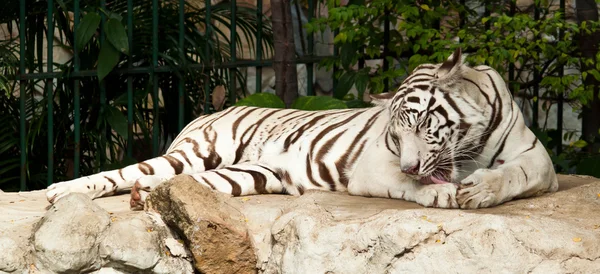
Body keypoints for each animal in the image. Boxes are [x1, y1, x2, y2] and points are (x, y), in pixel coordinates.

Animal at [45, 48, 556, 209]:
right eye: (396, 134)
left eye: (422, 122)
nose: (413, 163)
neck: (470, 143)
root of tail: (203, 112)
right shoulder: (376, 166)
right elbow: (412, 185)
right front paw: (442, 191)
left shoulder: (537, 157)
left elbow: (518, 175)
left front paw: (482, 188)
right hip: (193, 154)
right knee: (123, 173)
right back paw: (60, 190)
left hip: (247, 175)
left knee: (175, 184)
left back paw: (145, 198)